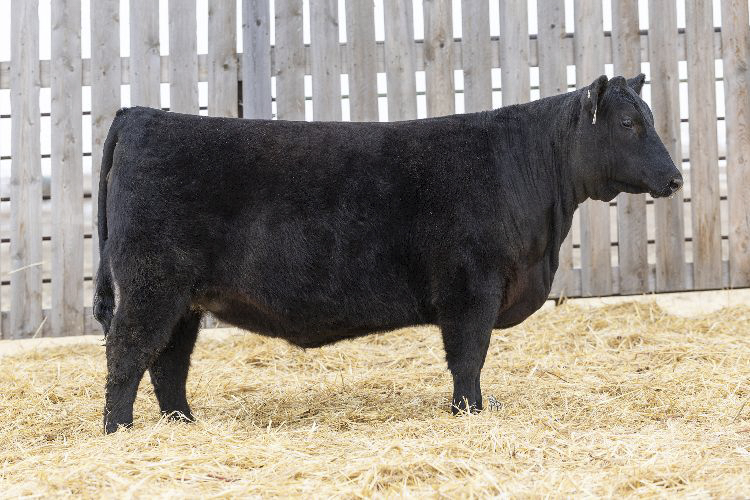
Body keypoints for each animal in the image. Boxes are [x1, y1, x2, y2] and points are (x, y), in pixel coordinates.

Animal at [94, 74, 683, 434]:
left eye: (650, 118)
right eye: (629, 124)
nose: (675, 178)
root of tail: (142, 115)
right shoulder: (471, 288)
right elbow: (468, 358)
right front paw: (470, 413)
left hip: (184, 298)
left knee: (168, 363)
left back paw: (182, 426)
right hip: (151, 283)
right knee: (127, 354)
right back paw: (119, 431)